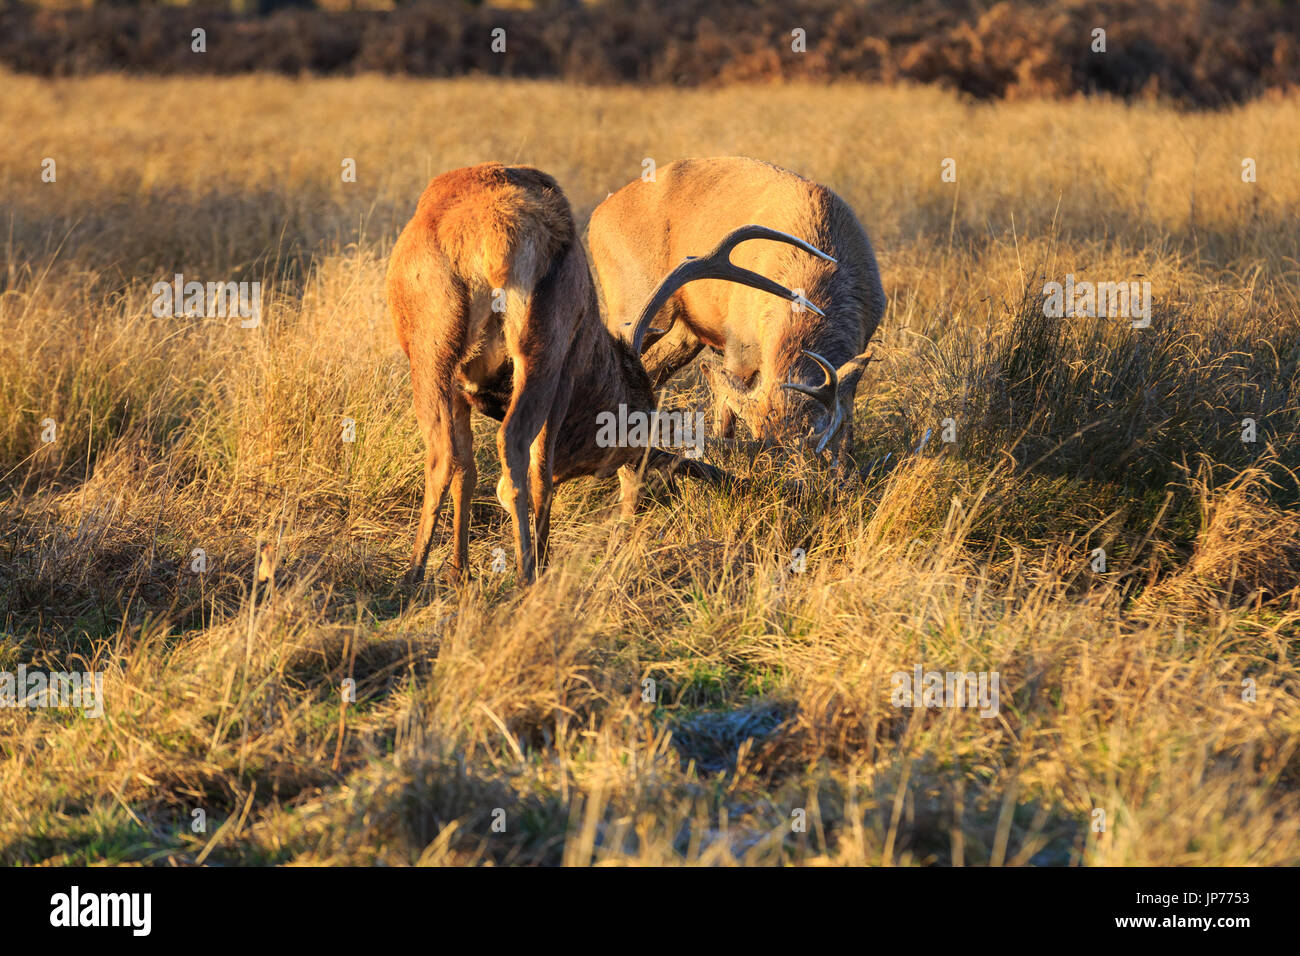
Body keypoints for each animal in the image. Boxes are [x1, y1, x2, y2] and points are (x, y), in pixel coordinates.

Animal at [384, 162, 832, 582]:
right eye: (637, 429)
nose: (635, 507)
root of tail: (491, 237)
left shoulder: (463, 386)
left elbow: (468, 469)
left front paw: (458, 572)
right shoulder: (566, 368)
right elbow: (540, 472)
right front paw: (539, 562)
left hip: (428, 343)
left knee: (442, 454)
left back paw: (414, 574)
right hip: (540, 341)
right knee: (512, 446)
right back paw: (527, 574)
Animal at [587, 160, 883, 481]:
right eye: (758, 437)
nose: (784, 479)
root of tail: (596, 216)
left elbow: (847, 415)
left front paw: (847, 470)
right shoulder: (738, 345)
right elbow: (725, 413)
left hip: (682, 335)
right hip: (631, 300)